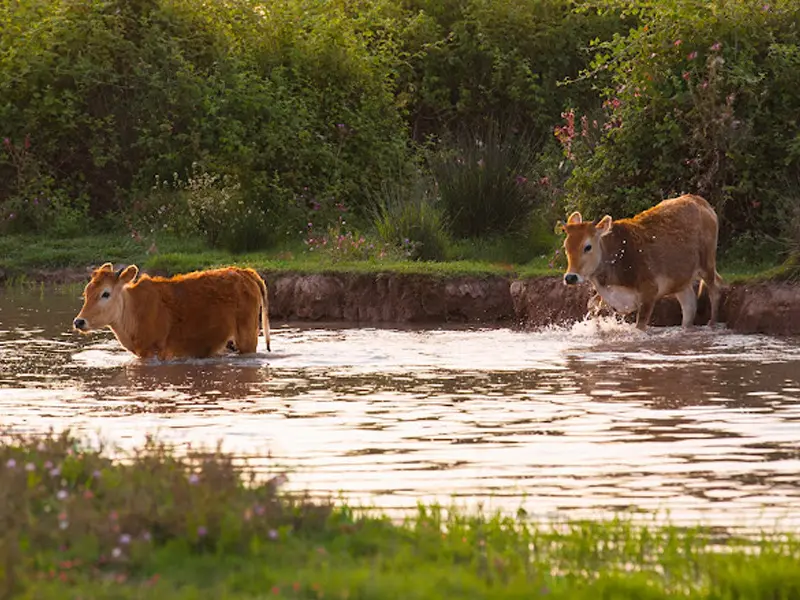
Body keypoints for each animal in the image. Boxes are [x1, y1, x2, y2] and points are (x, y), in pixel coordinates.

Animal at [74, 264, 272, 358]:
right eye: (86, 292)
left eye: (105, 293)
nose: (79, 321)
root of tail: (244, 272)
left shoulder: (153, 353)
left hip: (247, 338)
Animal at [560, 195, 720, 330]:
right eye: (566, 246)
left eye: (588, 246)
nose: (570, 277)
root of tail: (698, 200)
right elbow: (591, 305)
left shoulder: (649, 292)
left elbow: (640, 327)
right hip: (680, 281)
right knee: (689, 307)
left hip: (707, 264)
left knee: (715, 291)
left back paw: (712, 323)